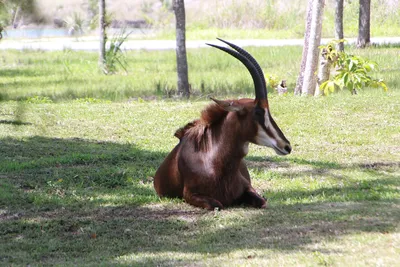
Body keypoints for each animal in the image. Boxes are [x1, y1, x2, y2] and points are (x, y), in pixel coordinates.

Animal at [155, 38, 292, 210]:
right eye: (259, 112)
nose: (286, 146)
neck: (213, 161)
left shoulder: (248, 187)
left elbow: (262, 202)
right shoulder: (190, 195)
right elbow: (217, 204)